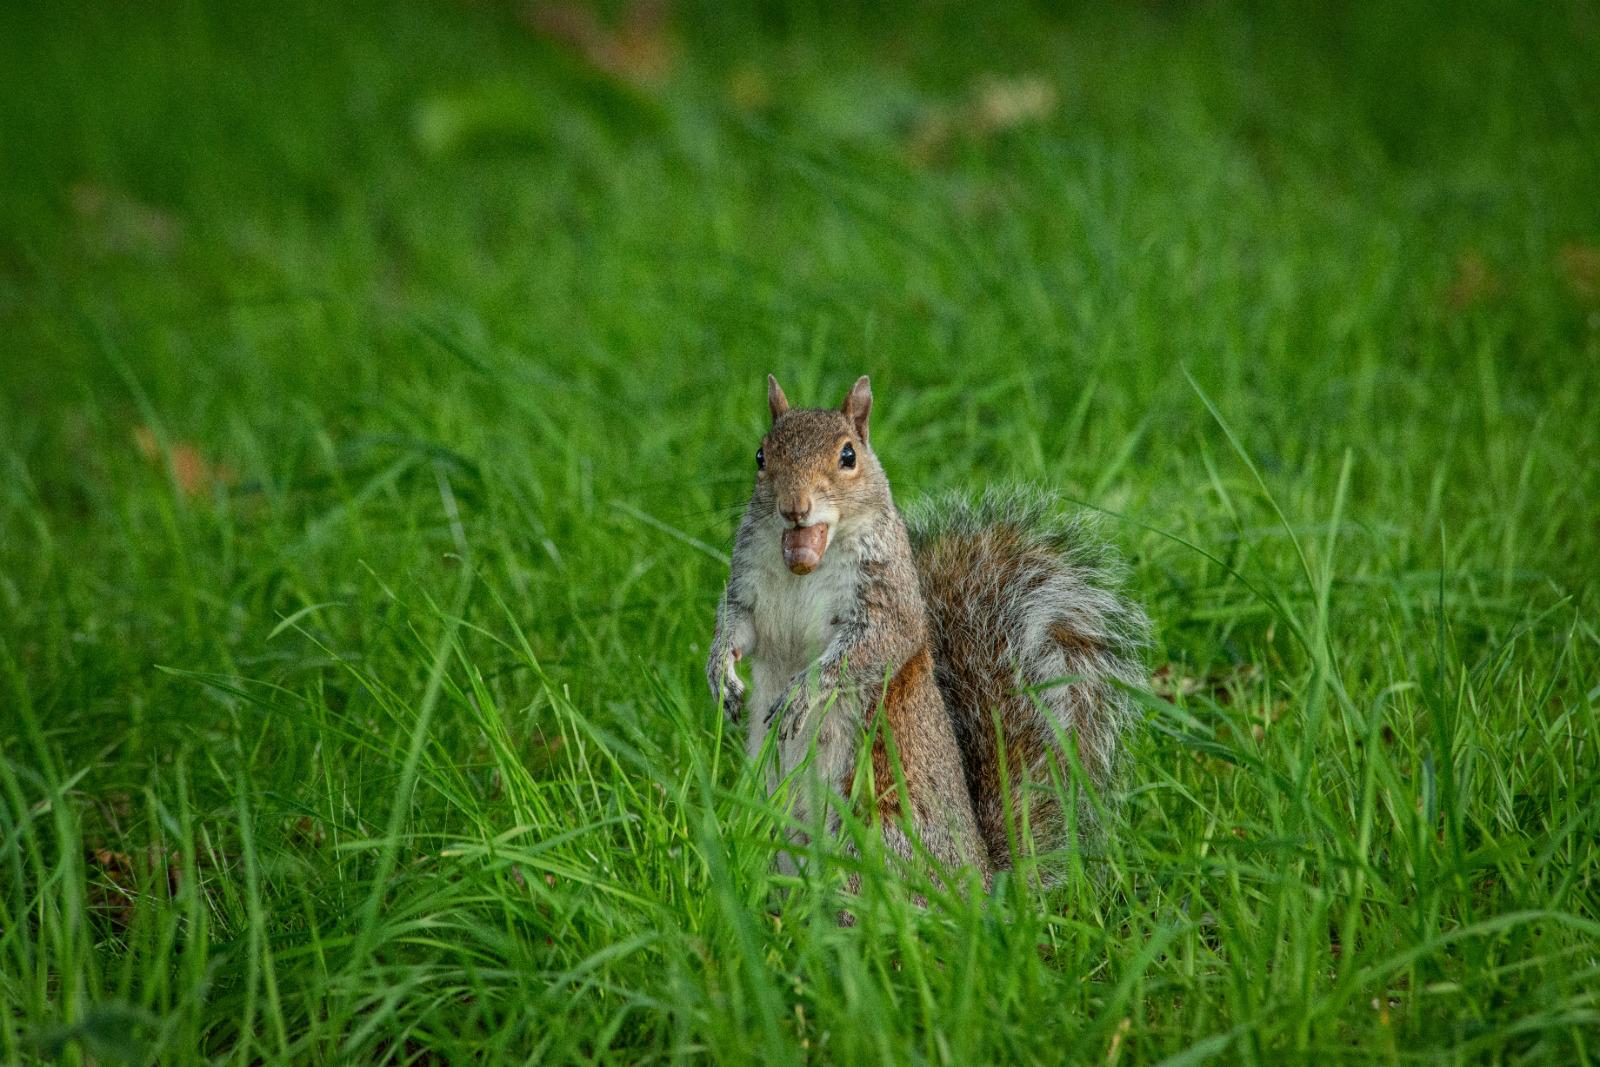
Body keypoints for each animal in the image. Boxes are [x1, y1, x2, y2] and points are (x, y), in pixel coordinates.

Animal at [706, 374, 1149, 882]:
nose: (794, 507)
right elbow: (736, 629)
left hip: (880, 831)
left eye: (848, 456)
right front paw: (720, 674)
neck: (805, 565)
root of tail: (983, 882)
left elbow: (874, 646)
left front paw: (805, 690)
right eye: (761, 456)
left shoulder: (887, 598)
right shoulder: (747, 587)